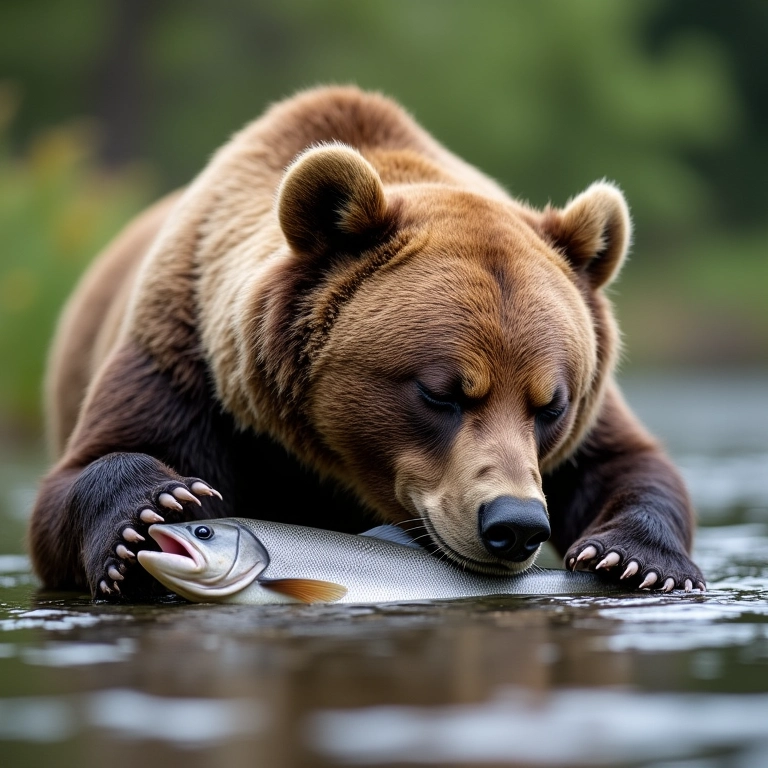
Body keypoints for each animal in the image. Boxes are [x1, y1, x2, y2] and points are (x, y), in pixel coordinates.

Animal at [28, 86, 705, 599]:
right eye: (442, 393)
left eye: (551, 404)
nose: (514, 523)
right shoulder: (187, 359)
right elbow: (85, 474)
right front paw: (157, 508)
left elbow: (628, 462)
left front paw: (634, 559)